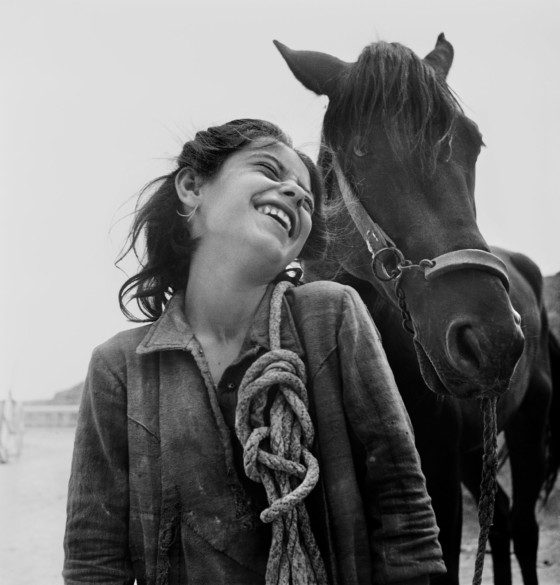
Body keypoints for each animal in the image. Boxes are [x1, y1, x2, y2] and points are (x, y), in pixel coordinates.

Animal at [274, 35, 560, 585]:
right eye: (361, 149)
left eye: (473, 143)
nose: (491, 339)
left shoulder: (440, 480)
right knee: (501, 521)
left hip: (529, 426)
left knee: (524, 527)